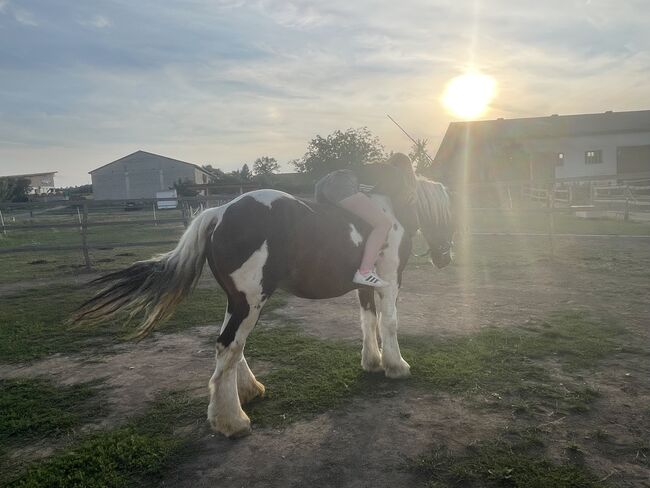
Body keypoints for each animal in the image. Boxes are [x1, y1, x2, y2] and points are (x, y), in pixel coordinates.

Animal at [73, 176, 450, 438]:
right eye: (449, 211)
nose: (445, 258)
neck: (392, 211)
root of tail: (219, 212)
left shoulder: (365, 286)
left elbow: (368, 321)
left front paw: (372, 362)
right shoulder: (391, 280)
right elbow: (390, 322)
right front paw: (396, 366)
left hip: (239, 301)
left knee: (231, 347)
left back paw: (248, 392)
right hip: (251, 301)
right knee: (228, 345)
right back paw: (232, 421)